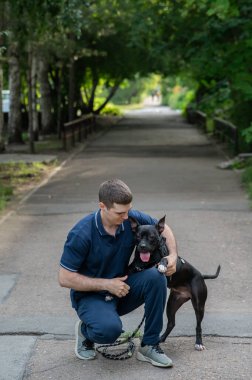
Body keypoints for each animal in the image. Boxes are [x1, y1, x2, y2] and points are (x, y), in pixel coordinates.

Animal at [128, 217, 220, 350]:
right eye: (138, 236)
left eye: (151, 237)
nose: (143, 246)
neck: (147, 261)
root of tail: (201, 275)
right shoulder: (133, 267)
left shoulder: (168, 259)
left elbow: (164, 259)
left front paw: (161, 265)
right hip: (172, 304)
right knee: (171, 323)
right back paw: (161, 338)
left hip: (199, 305)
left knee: (198, 325)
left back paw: (199, 343)